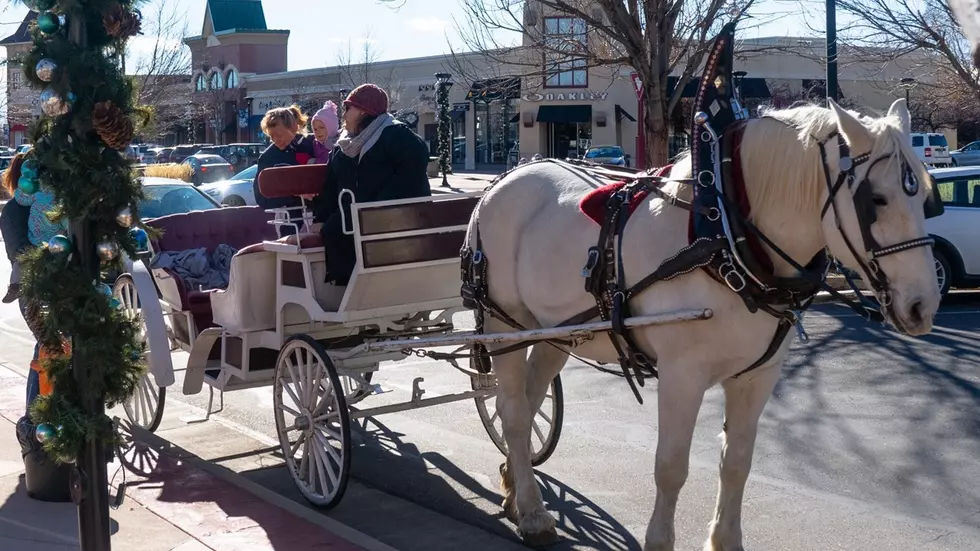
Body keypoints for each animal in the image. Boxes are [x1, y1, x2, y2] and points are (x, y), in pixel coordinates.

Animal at [468, 99, 940, 551]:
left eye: (926, 198)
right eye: (875, 200)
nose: (924, 306)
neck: (725, 241)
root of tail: (506, 178)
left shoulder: (757, 376)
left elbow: (737, 463)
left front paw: (726, 539)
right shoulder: (683, 375)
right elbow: (671, 466)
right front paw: (659, 541)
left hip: (555, 332)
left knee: (528, 404)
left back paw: (515, 489)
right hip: (504, 321)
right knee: (512, 412)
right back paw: (533, 514)